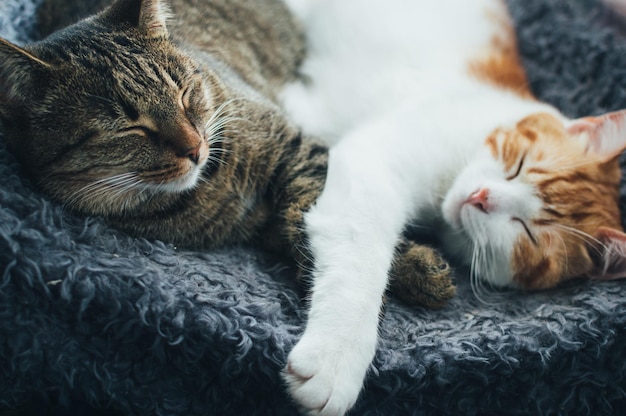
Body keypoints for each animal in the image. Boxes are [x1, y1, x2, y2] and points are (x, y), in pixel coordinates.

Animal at [280, 0, 626, 414]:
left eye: (526, 231)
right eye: (518, 164)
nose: (481, 197)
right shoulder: (376, 157)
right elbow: (362, 258)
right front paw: (337, 354)